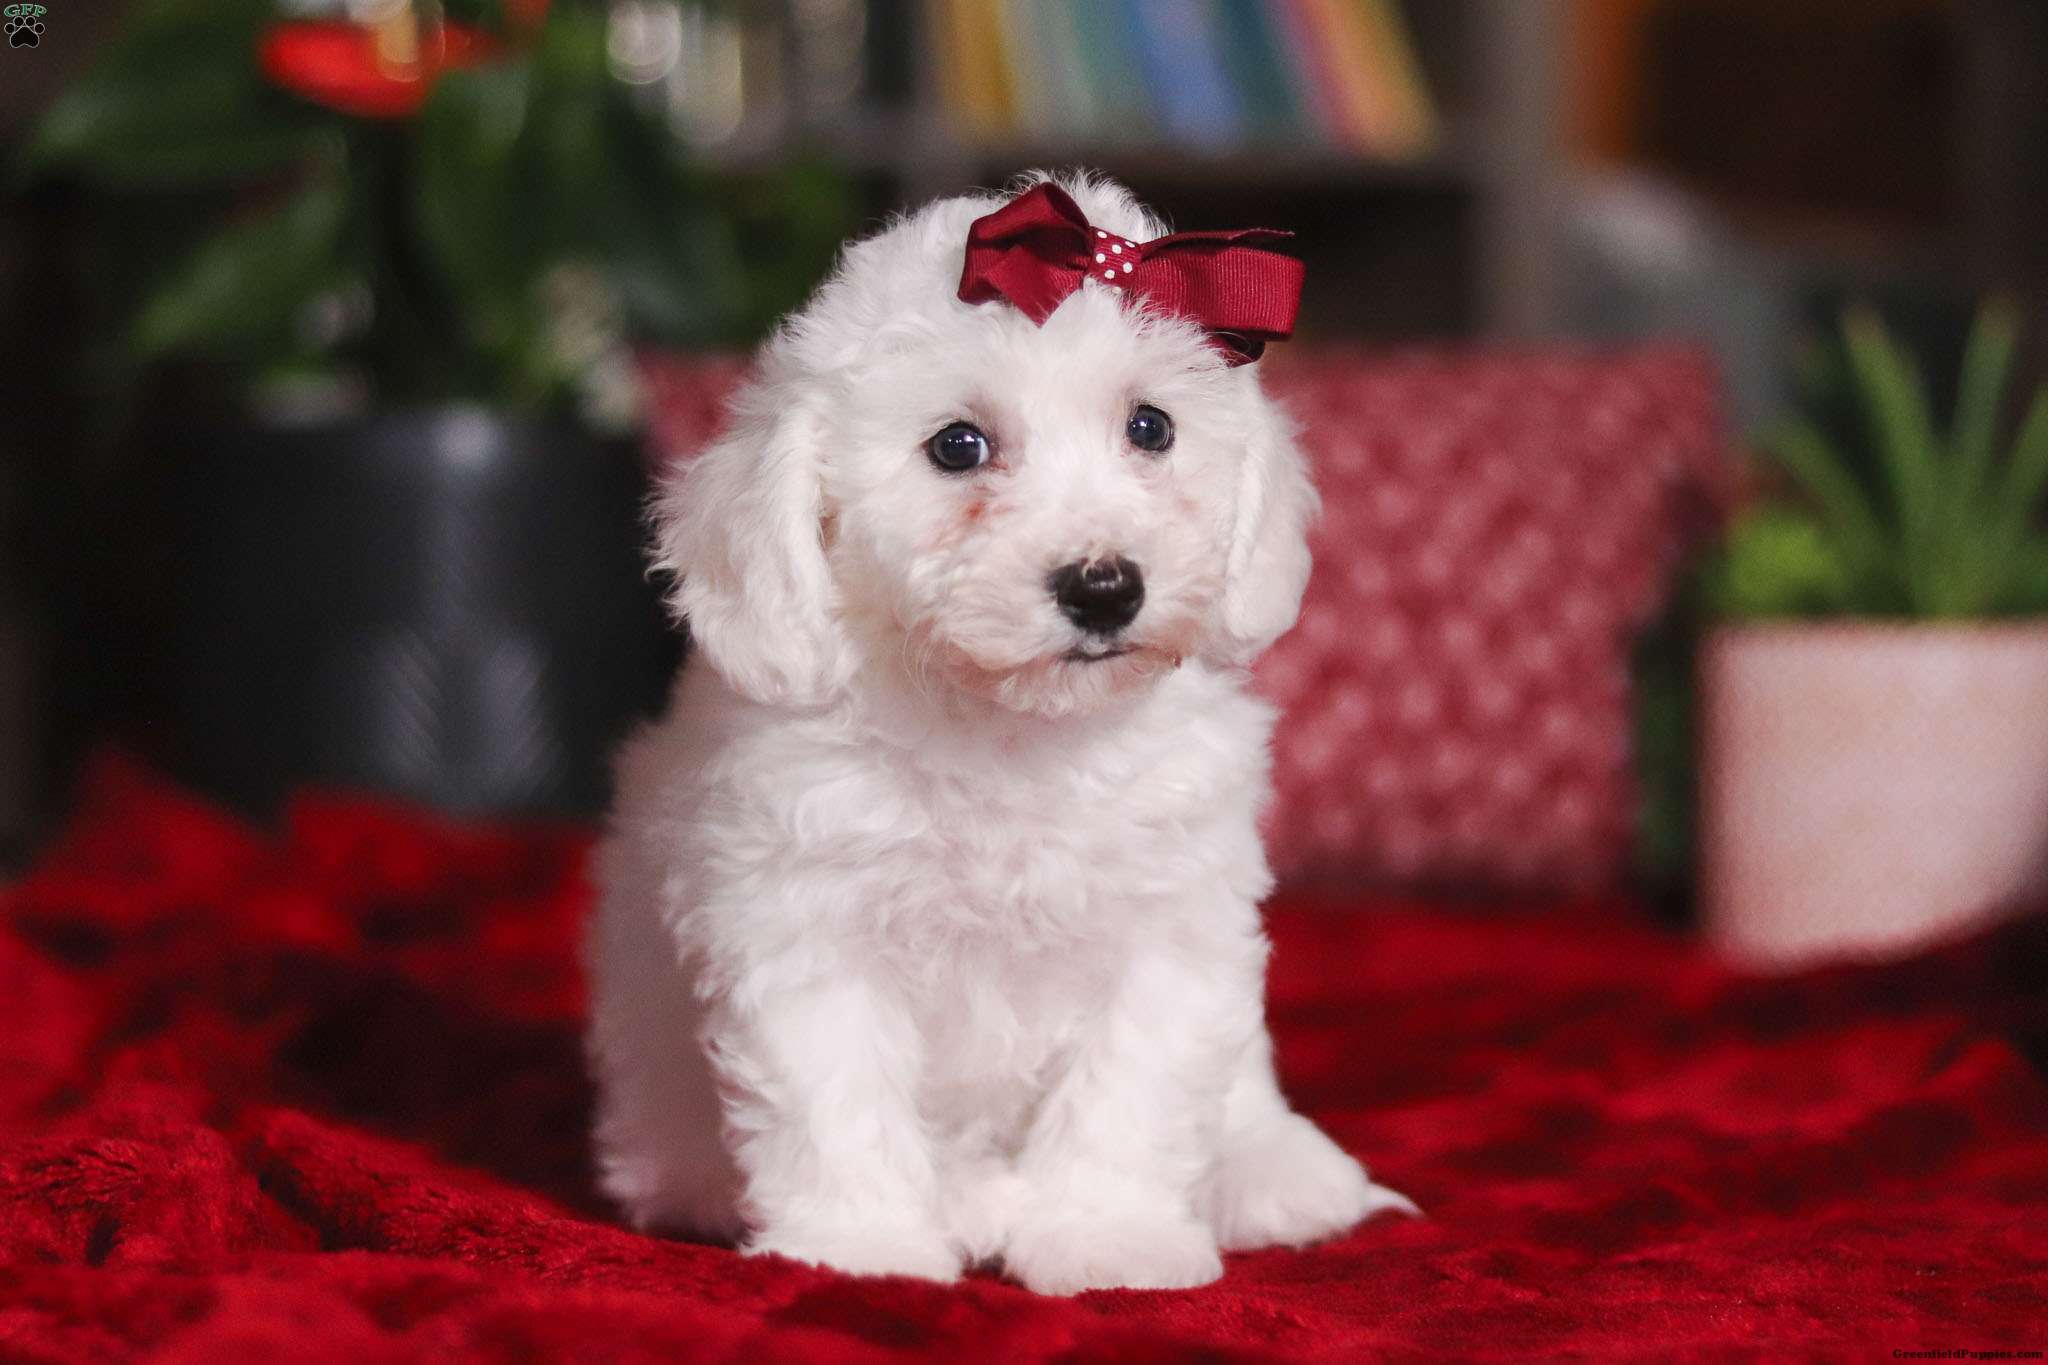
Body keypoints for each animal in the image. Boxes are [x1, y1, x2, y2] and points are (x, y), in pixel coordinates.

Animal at [585, 172, 1414, 1295]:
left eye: (1150, 426)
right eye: (957, 446)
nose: (1104, 587)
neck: (1011, 732)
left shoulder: (1166, 930)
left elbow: (1129, 1091)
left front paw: (1108, 1238)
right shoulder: (803, 926)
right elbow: (835, 1100)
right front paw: (864, 1247)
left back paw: (1271, 1172)